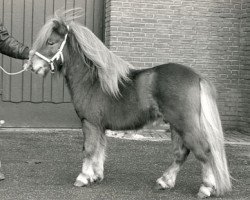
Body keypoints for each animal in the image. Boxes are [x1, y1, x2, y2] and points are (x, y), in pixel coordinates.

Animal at [30, 11, 231, 198]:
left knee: (204, 151)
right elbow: (99, 150)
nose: (33, 66)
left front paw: (83, 177)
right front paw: (95, 176)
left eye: (51, 42)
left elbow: (89, 149)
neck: (92, 81)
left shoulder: (90, 123)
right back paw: (165, 181)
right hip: (176, 126)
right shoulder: (99, 126)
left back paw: (206, 188)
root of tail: (197, 77)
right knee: (181, 153)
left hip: (185, 125)